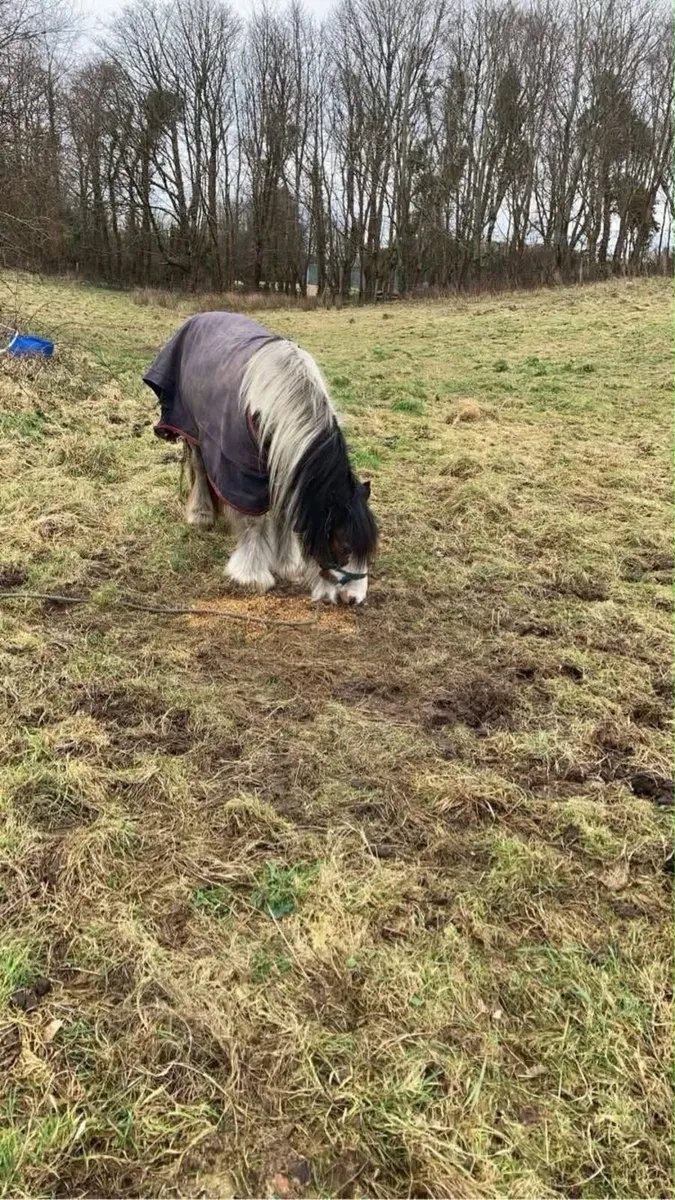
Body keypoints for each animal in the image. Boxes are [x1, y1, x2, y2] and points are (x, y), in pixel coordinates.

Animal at [143, 312, 378, 605]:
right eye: (345, 546)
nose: (355, 598)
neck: (276, 404)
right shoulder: (243, 474)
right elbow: (254, 521)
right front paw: (251, 575)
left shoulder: (284, 465)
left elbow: (283, 515)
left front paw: (287, 564)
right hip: (193, 430)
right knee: (200, 467)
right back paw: (201, 515)